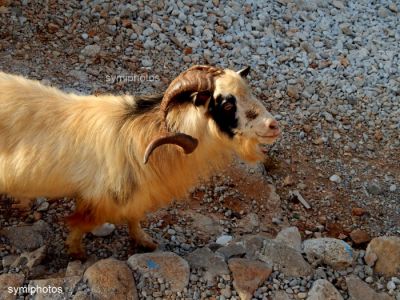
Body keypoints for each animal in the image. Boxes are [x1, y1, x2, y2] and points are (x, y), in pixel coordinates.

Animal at [0, 65, 280, 258]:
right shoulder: (99, 200)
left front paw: (145, 242)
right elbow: (80, 225)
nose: (273, 126)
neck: (142, 133)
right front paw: (77, 254)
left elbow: (134, 218)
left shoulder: (136, 195)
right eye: (226, 104)